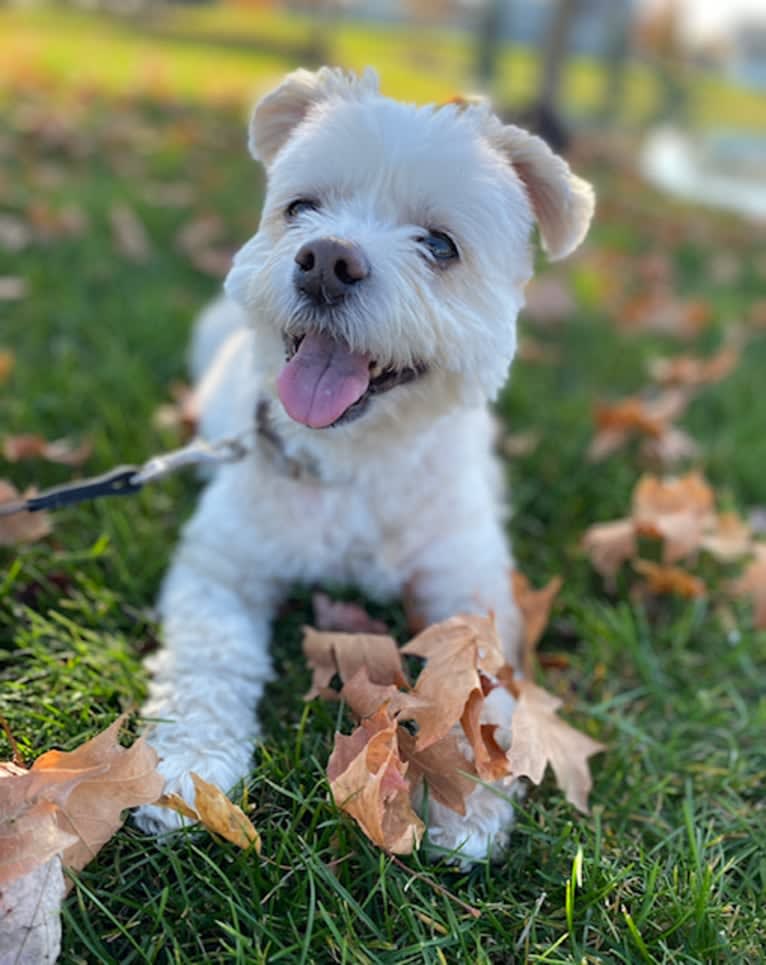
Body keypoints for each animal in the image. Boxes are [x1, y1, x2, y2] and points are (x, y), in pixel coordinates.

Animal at [135, 66, 596, 860]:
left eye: (439, 244)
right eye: (301, 208)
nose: (326, 258)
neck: (356, 463)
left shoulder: (468, 587)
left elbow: (477, 694)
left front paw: (468, 794)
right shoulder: (222, 568)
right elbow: (208, 660)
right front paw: (188, 763)